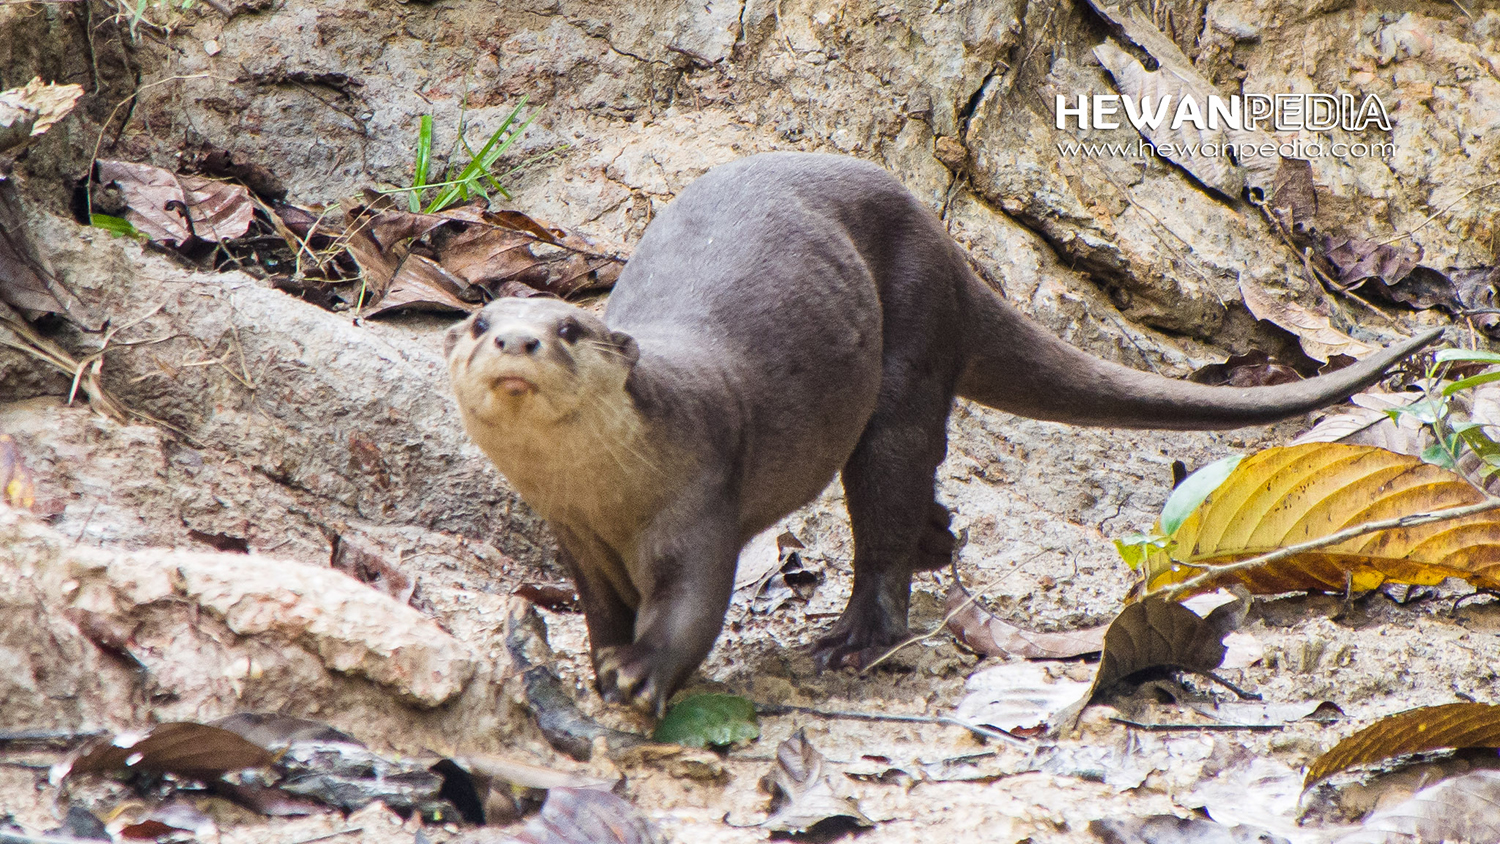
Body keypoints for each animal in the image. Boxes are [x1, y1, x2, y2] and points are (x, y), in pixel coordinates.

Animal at [444, 155, 1440, 716]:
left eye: (569, 329)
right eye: (481, 320)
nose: (517, 342)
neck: (614, 499)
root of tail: (955, 252)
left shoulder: (699, 505)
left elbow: (689, 609)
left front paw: (640, 675)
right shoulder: (577, 538)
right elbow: (600, 610)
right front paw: (597, 662)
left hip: (911, 347)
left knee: (886, 497)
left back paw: (854, 640)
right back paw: (937, 543)